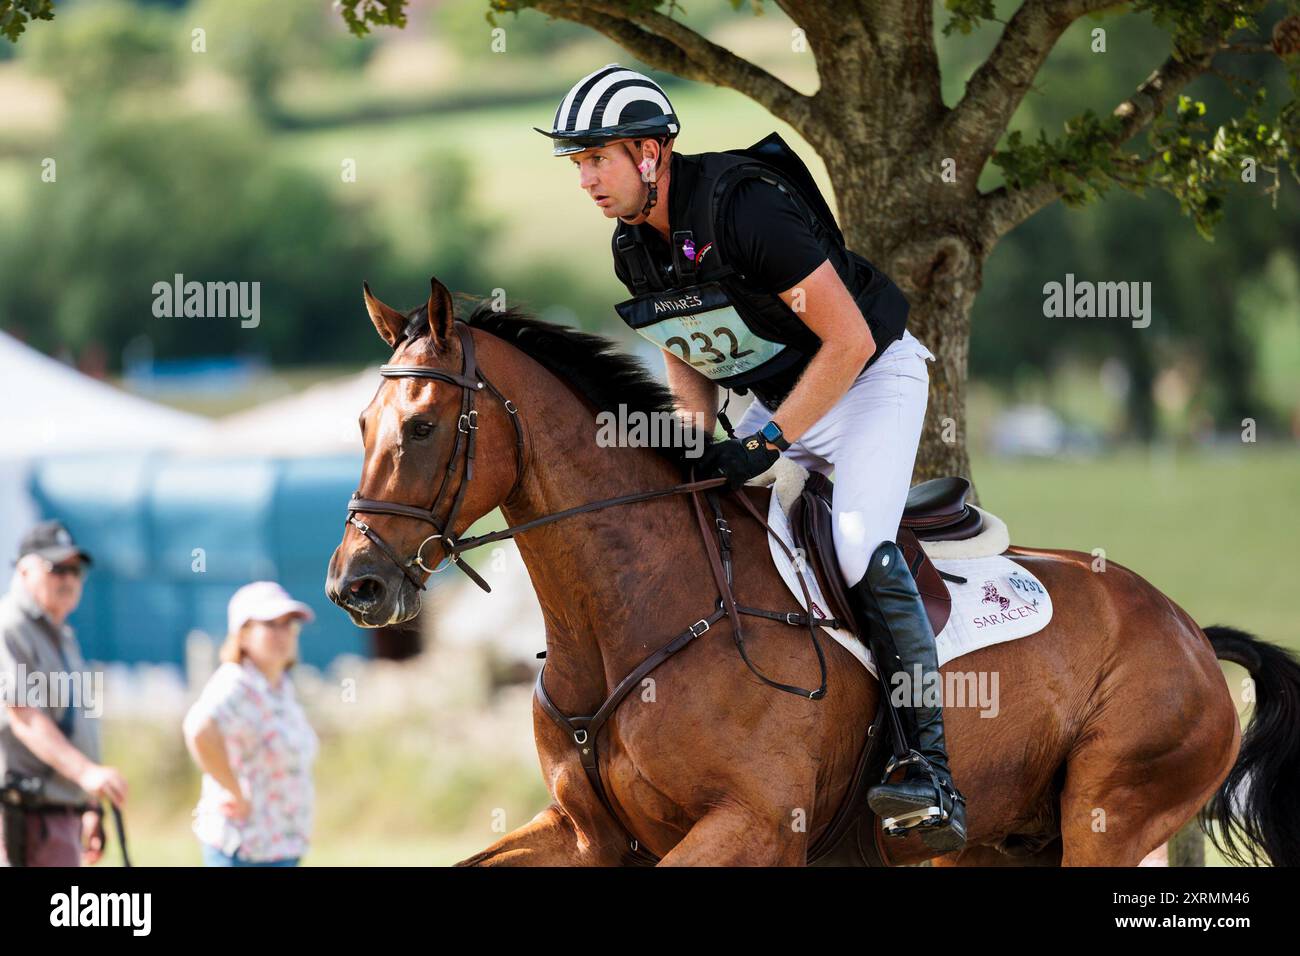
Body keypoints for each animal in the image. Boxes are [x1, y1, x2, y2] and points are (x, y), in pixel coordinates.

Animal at [325, 277, 1300, 868]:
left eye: (422, 427)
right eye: (362, 424)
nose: (355, 585)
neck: (628, 618)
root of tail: (1188, 630)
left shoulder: (751, 828)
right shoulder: (583, 834)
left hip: (1109, 809)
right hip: (999, 839)